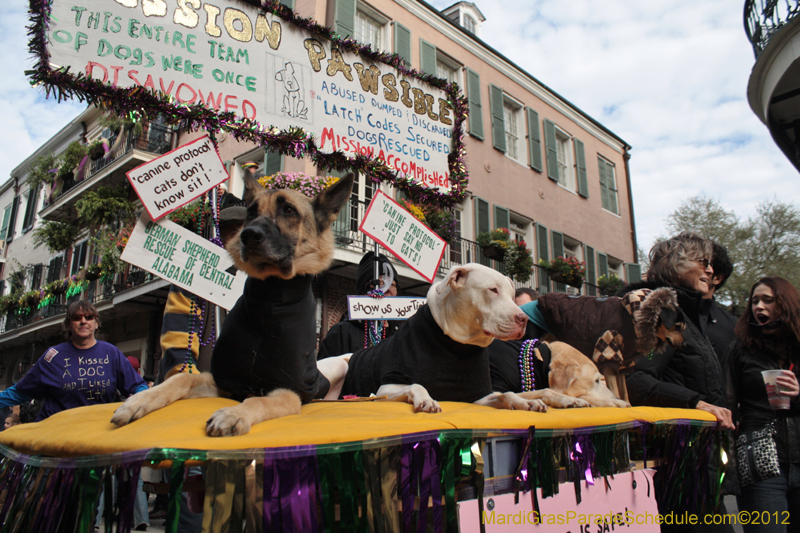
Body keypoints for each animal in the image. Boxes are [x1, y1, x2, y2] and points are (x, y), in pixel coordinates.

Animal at [111, 172, 354, 434]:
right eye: (251, 212)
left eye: (288, 210)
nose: (248, 235)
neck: (270, 299)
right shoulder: (224, 382)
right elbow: (183, 377)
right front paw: (137, 401)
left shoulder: (289, 392)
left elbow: (258, 400)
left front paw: (233, 414)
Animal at [338, 262, 552, 412]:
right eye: (493, 290)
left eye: (511, 295)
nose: (524, 319)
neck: (458, 344)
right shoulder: (385, 389)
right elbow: (416, 384)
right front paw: (426, 399)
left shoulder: (477, 396)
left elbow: (505, 394)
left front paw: (526, 402)